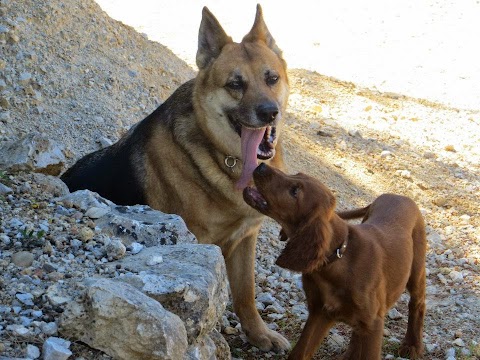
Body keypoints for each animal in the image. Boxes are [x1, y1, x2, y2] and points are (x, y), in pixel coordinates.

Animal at [62, 4, 290, 350]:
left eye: (272, 78)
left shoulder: (245, 238)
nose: (269, 112)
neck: (224, 157)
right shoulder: (199, 241)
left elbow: (246, 294)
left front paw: (259, 334)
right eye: (235, 84)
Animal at [246, 164, 426, 360]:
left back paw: (412, 345)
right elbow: (300, 351)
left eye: (295, 191)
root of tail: (398, 196)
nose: (261, 166)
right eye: (297, 174)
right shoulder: (320, 312)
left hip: (416, 272)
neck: (339, 257)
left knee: (417, 304)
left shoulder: (373, 322)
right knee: (357, 332)